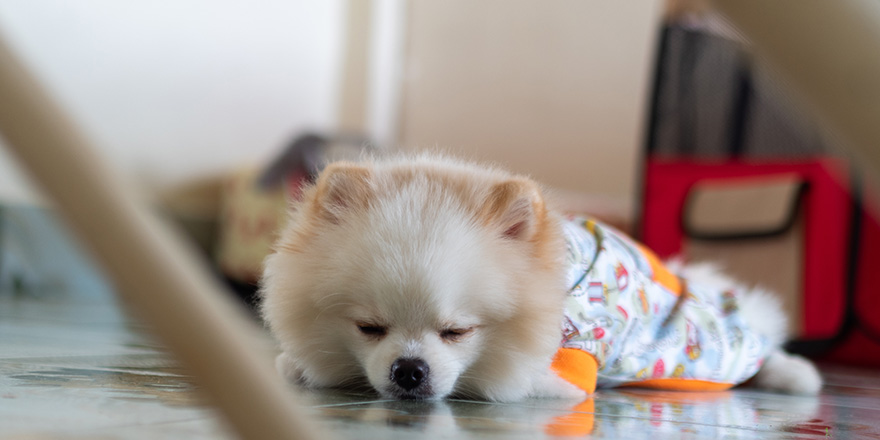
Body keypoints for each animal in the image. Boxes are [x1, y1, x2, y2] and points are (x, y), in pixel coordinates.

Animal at [258, 156, 820, 402]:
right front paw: (297, 365)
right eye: (369, 328)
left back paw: (795, 375)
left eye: (457, 332)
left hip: (700, 344)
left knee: (754, 347)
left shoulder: (568, 365)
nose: (409, 370)